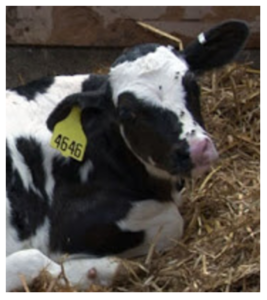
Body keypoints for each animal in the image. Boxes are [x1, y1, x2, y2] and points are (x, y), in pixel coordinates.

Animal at [5, 20, 249, 290]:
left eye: (192, 84)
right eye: (126, 112)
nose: (197, 149)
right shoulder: (65, 227)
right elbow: (173, 222)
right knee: (30, 259)